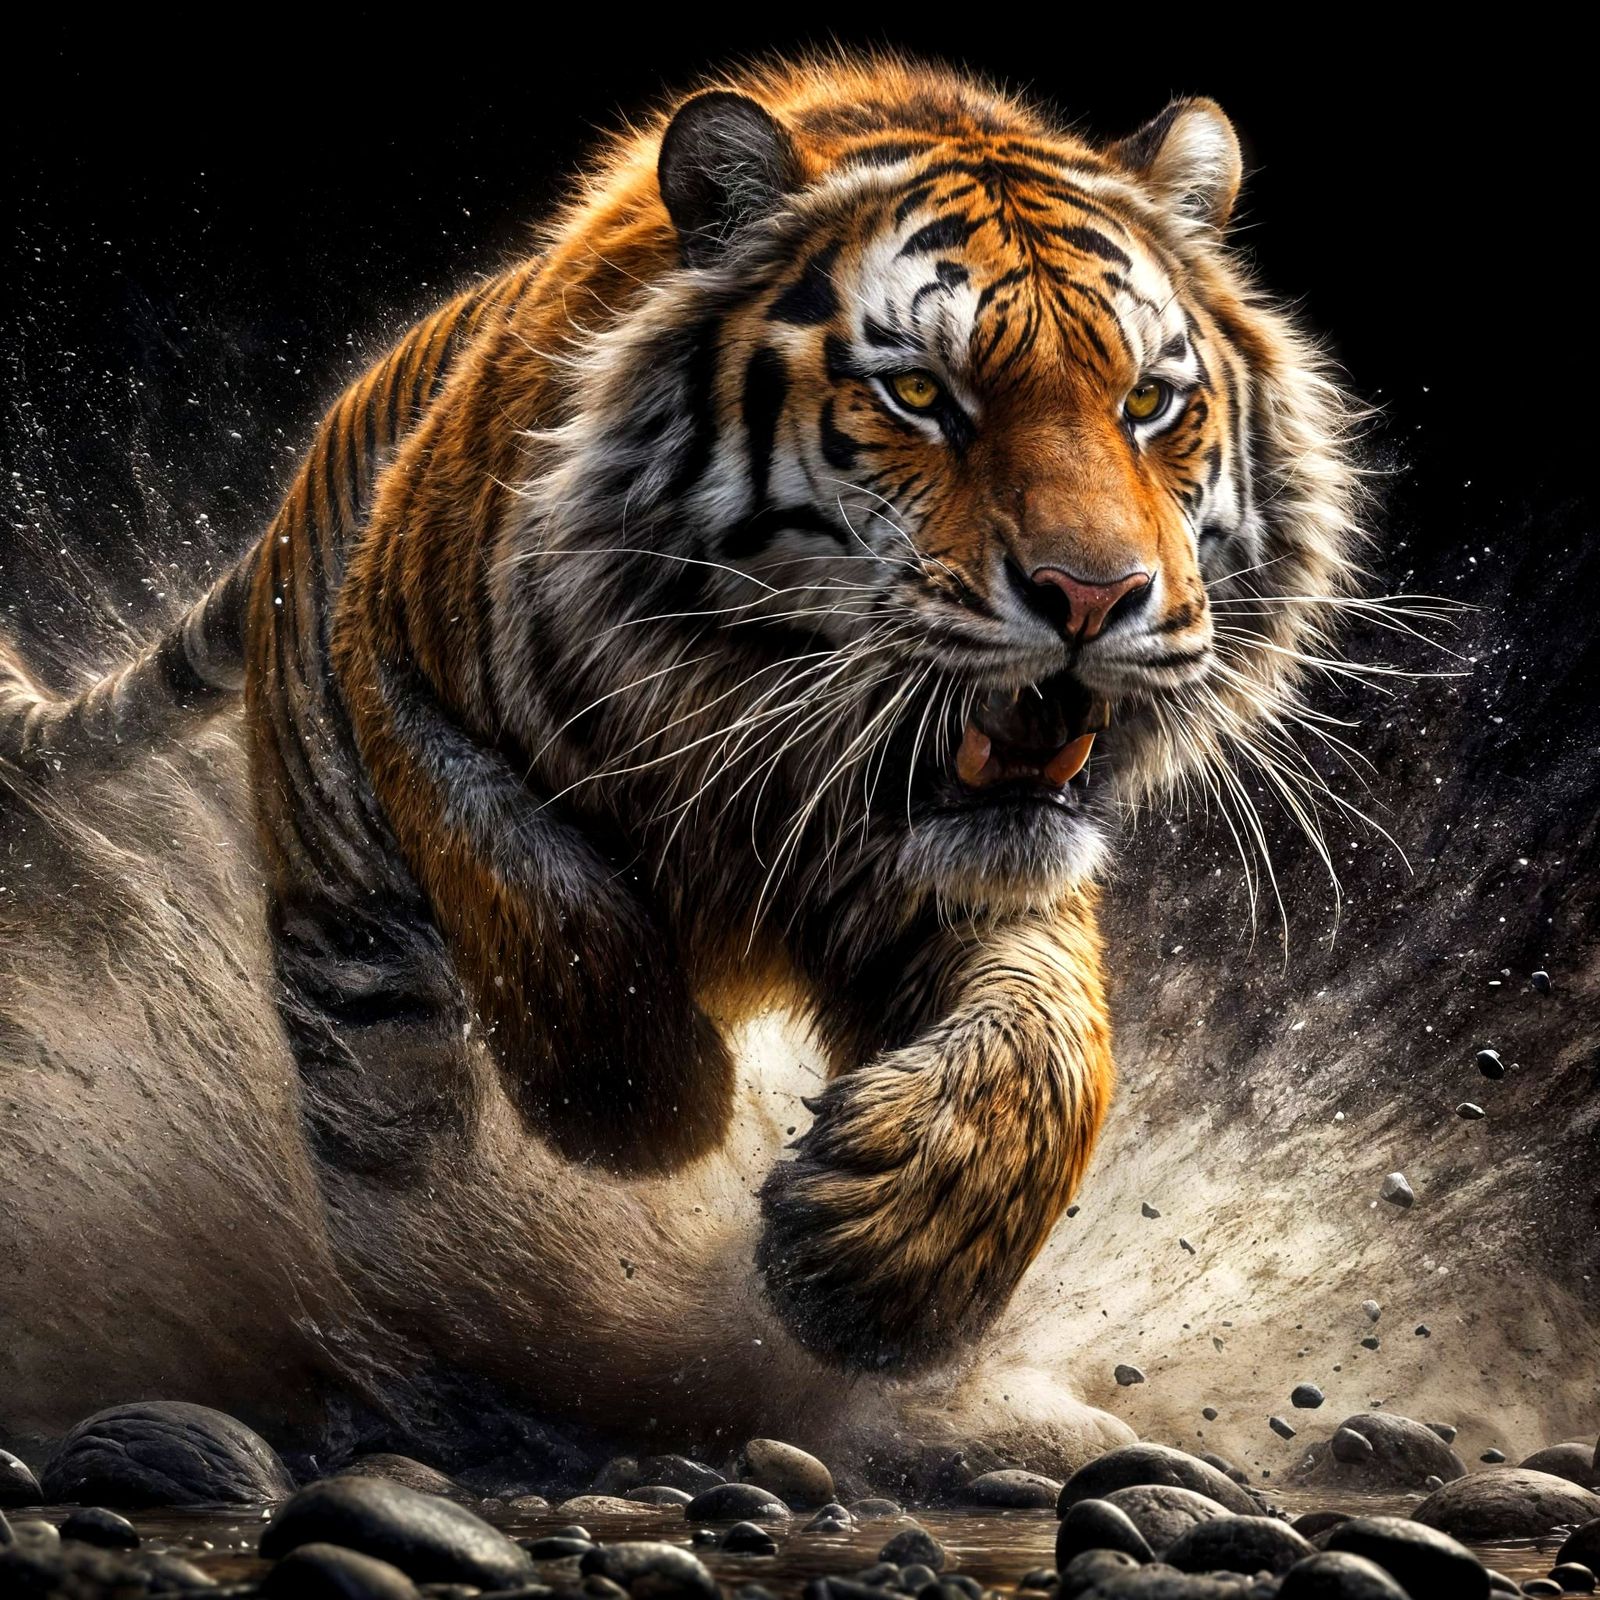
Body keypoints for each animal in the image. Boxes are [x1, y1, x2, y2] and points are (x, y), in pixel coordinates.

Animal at [0, 52, 1358, 1384]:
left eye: (1148, 403)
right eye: (921, 394)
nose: (1093, 596)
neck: (770, 721)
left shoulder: (970, 871)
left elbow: (1052, 1038)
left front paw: (882, 1264)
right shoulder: (396, 670)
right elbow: (531, 879)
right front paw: (649, 1114)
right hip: (350, 936)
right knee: (395, 1153)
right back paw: (456, 1319)